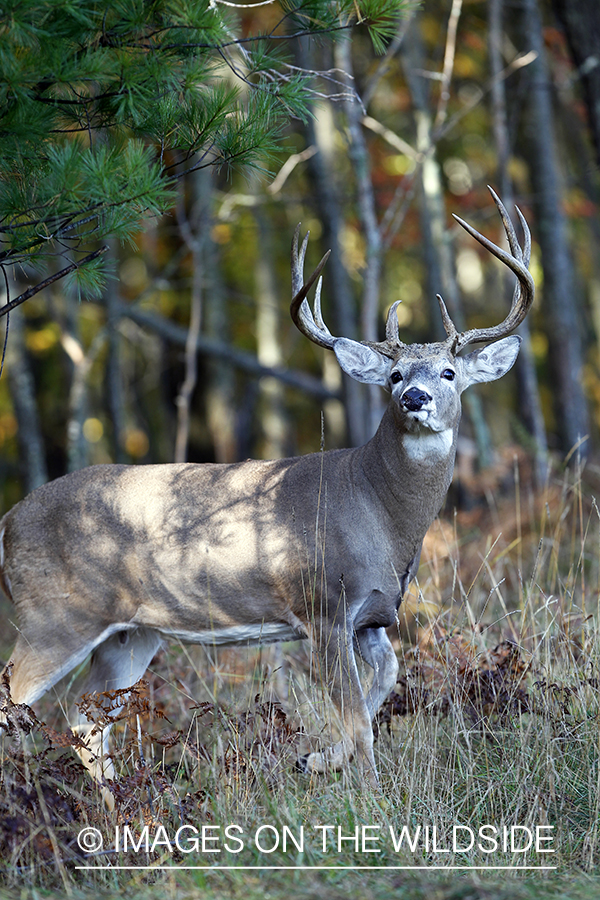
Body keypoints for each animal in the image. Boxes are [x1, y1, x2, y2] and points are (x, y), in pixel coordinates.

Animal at [0, 186, 536, 804]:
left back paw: (121, 810)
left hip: (131, 633)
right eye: (395, 375)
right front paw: (369, 796)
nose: (416, 398)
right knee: (19, 705)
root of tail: (8, 520)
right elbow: (357, 717)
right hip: (55, 615)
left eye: (449, 373)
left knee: (86, 723)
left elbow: (383, 687)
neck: (379, 511)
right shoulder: (322, 602)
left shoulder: (372, 616)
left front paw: (315, 760)